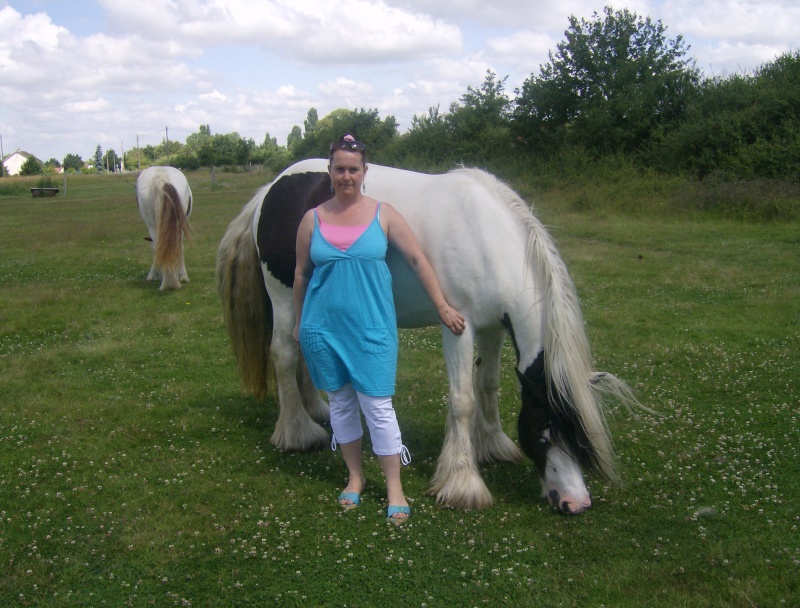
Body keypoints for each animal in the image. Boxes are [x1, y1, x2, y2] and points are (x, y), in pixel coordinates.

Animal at [214, 158, 636, 512]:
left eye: (580, 436)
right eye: (547, 431)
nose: (575, 503)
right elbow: (463, 399)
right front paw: (463, 483)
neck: (488, 238)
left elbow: (487, 385)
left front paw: (492, 445)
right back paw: (297, 433)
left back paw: (316, 410)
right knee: (284, 355)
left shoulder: (492, 328)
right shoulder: (458, 327)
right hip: (285, 296)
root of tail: (270, 190)